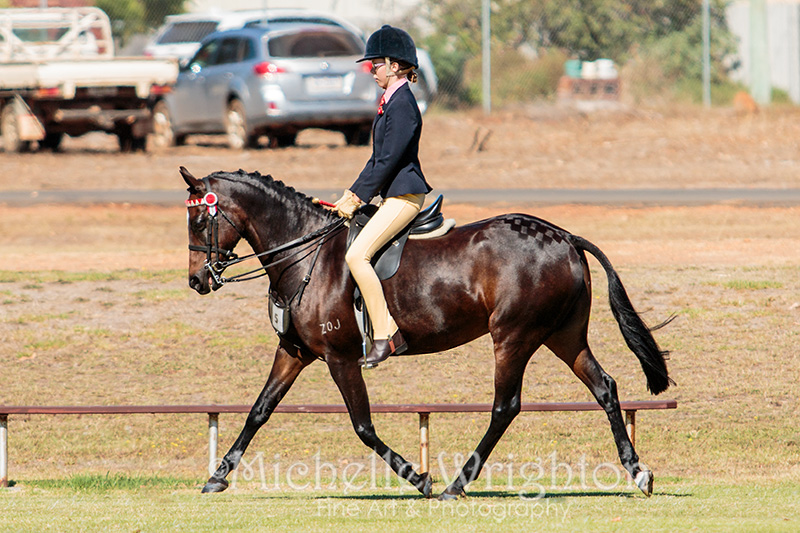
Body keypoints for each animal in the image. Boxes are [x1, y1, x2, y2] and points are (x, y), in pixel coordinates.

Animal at [180, 167, 668, 498]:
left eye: (201, 221)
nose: (197, 281)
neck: (304, 254)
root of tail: (564, 236)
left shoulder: (340, 357)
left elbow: (363, 425)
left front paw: (419, 477)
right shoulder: (295, 351)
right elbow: (259, 411)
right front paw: (218, 475)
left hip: (513, 337)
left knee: (505, 407)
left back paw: (456, 484)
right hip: (562, 336)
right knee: (604, 387)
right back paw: (637, 471)